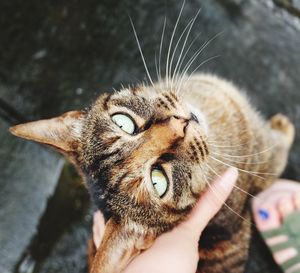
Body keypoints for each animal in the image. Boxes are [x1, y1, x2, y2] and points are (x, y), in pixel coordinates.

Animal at [9, 73, 296, 272]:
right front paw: (285, 126)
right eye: (158, 181)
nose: (180, 125)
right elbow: (280, 144)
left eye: (123, 122)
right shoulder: (268, 159)